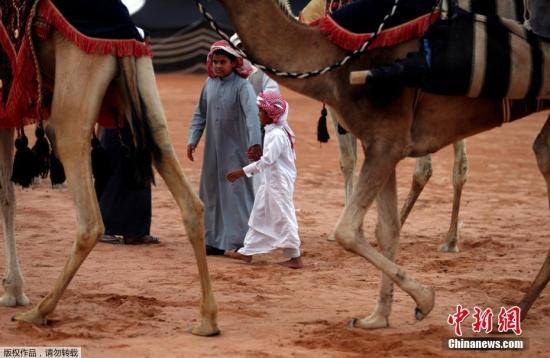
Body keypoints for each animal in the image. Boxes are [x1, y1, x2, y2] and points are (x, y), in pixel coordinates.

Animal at [0, 30, 220, 336]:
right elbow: (8, 197)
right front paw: (13, 289)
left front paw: (13, 290)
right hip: (144, 85)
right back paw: (207, 320)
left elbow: (5, 195)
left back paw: (39, 312)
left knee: (89, 220)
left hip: (77, 87)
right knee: (189, 199)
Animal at [215, 0, 550, 328]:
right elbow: (386, 229)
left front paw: (423, 299)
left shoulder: (382, 138)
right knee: (477, 164)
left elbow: (348, 212)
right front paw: (379, 316)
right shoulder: (381, 141)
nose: (229, 55)